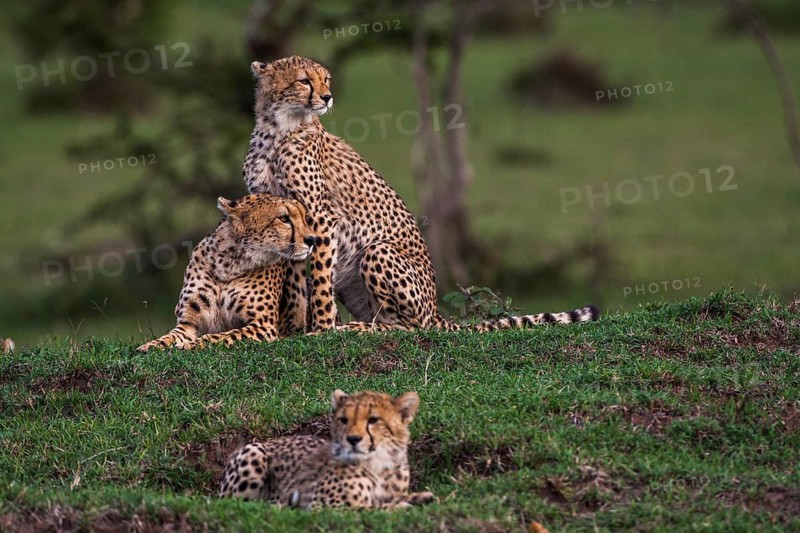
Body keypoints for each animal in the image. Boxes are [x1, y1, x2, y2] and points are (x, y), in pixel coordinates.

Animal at [136, 193, 318, 352]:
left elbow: (223, 336)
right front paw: (150, 346)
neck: (228, 263)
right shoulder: (188, 323)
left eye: (306, 219)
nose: (312, 240)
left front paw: (190, 345)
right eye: (284, 218)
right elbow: (169, 336)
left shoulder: (263, 326)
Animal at [218, 389, 435, 510]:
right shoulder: (323, 505)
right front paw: (401, 506)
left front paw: (421, 497)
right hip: (254, 452)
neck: (378, 464)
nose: (353, 439)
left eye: (373, 420)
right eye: (344, 420)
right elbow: (369, 508)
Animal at [242, 55, 599, 334]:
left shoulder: (321, 219)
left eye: (325, 79)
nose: (328, 97)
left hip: (378, 252)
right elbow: (295, 279)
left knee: (408, 327)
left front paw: (322, 330)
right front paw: (293, 330)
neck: (278, 129)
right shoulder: (286, 220)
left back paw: (356, 328)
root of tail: (436, 310)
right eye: (304, 81)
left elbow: (318, 282)